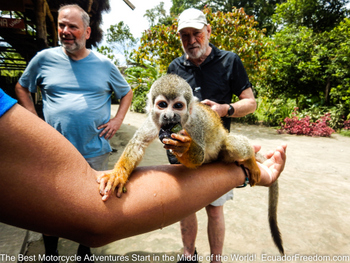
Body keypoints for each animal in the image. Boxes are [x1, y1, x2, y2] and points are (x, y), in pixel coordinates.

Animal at [98, 74, 284, 256]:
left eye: (178, 106)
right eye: (162, 105)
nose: (169, 116)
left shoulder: (196, 124)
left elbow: (199, 156)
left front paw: (184, 147)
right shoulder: (153, 121)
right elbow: (138, 144)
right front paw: (117, 175)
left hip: (223, 143)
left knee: (233, 145)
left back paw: (250, 159)